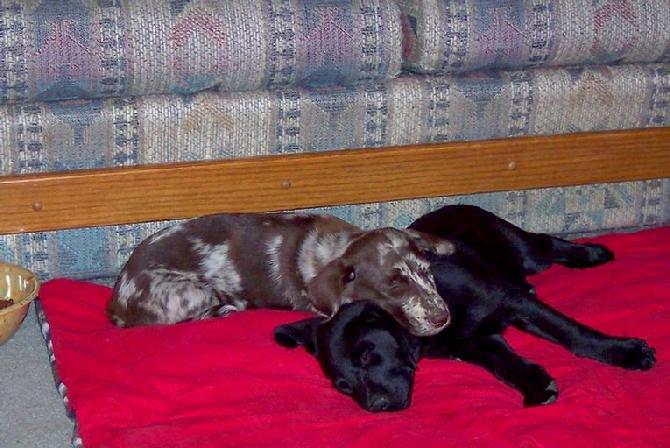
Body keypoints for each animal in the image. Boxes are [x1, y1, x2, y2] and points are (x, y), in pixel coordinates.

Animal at [276, 205, 660, 412]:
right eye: (344, 386)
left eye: (368, 355)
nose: (376, 407)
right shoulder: (475, 342)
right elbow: (505, 364)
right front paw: (535, 384)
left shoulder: (513, 301)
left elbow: (572, 332)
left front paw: (624, 352)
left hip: (526, 250)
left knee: (548, 243)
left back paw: (593, 253)